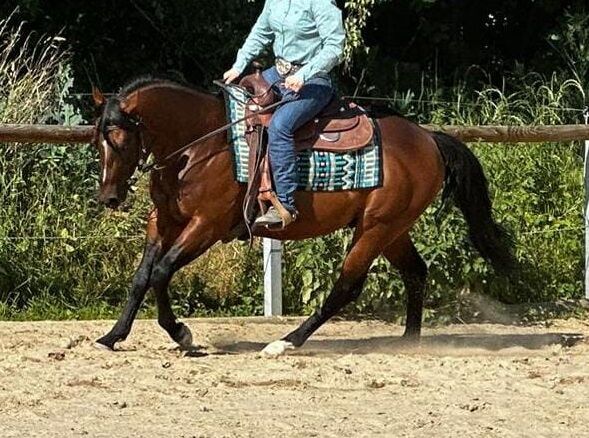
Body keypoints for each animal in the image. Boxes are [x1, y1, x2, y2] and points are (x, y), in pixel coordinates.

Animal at [90, 75, 510, 356]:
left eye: (120, 139)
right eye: (98, 140)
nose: (109, 196)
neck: (202, 143)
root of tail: (428, 139)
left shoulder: (205, 226)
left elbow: (161, 273)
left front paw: (182, 334)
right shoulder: (163, 221)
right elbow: (141, 278)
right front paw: (112, 336)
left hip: (376, 228)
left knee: (347, 287)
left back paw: (286, 342)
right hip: (393, 230)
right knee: (415, 272)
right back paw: (409, 340)